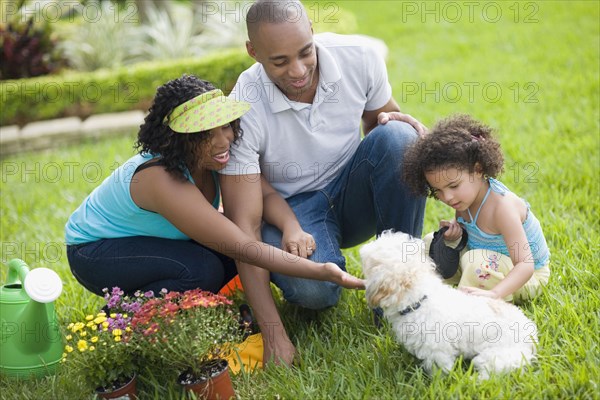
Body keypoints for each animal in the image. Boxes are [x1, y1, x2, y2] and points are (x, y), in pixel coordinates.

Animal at [358, 231, 536, 378]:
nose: (363, 248)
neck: (419, 300)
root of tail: (531, 335)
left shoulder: (437, 351)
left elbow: (439, 370)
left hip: (496, 357)